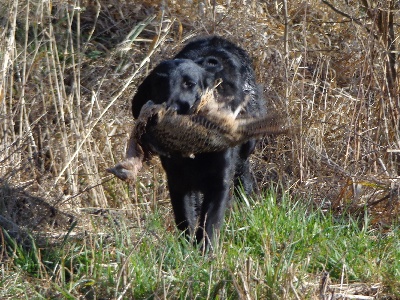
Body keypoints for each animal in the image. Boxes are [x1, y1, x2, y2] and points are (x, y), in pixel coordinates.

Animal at [132, 35, 266, 246]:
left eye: (189, 83)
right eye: (159, 83)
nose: (170, 109)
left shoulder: (219, 181)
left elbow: (209, 223)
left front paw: (205, 249)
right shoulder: (178, 182)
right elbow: (185, 218)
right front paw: (187, 248)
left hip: (246, 148)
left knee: (243, 172)